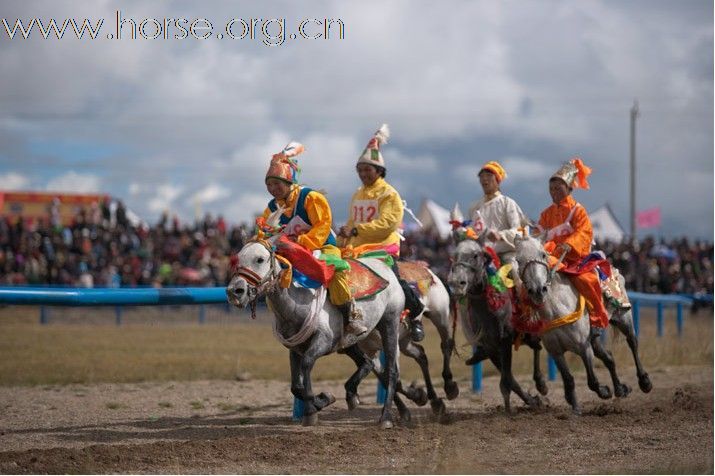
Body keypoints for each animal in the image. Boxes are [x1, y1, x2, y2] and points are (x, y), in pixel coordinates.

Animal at [227, 240, 406, 430]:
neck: (297, 305)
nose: (234, 291)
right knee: (367, 363)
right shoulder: (295, 348)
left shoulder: (324, 341)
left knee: (391, 371)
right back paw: (356, 396)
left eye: (260, 259)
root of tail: (387, 269)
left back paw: (386, 417)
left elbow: (307, 363)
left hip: (390, 323)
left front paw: (311, 411)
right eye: (237, 258)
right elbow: (295, 386)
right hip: (349, 343)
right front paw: (323, 400)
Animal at [448, 238, 544, 412]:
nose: (457, 283)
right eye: (455, 256)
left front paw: (509, 410)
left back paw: (541, 382)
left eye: (475, 255)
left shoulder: (504, 342)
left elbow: (506, 380)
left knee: (537, 346)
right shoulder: (490, 347)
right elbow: (510, 379)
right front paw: (532, 401)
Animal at [516, 236, 652, 414]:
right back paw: (620, 389)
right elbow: (569, 379)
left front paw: (604, 391)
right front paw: (575, 408)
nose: (538, 290)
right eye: (518, 260)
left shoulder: (583, 347)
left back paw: (644, 382)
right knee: (609, 358)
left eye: (543, 254)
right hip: (595, 339)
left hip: (624, 317)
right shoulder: (556, 352)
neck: (557, 311)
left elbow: (592, 381)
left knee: (632, 342)